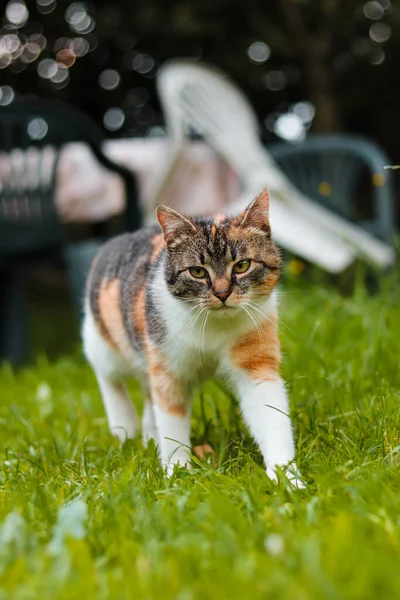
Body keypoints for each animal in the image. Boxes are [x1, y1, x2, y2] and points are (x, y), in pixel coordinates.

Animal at [83, 186, 304, 488]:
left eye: (242, 265)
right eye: (197, 271)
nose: (222, 293)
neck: (213, 329)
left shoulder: (255, 359)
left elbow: (270, 414)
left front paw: (286, 476)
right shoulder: (168, 368)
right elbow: (172, 422)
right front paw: (177, 472)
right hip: (104, 340)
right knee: (108, 376)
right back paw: (124, 426)